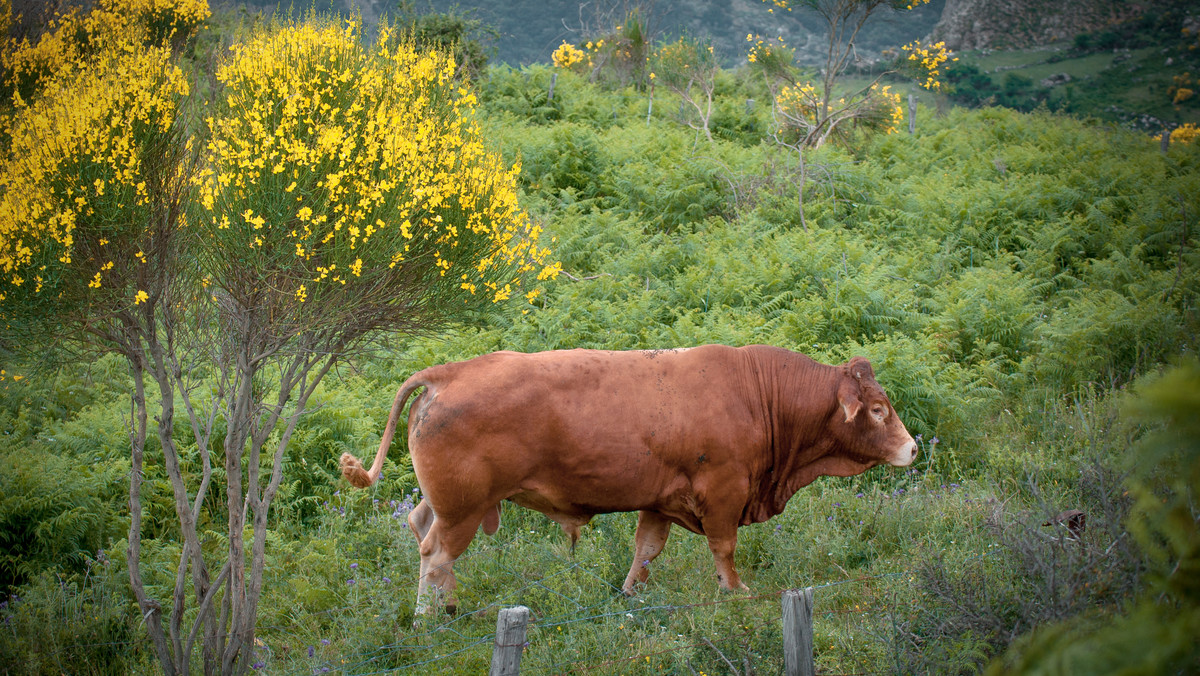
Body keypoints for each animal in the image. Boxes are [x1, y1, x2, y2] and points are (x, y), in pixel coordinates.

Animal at [338, 345, 916, 614]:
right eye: (879, 409)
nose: (912, 447)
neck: (755, 393)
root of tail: (447, 373)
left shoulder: (659, 501)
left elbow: (646, 549)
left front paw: (630, 593)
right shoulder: (723, 493)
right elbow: (724, 549)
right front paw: (735, 591)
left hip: (443, 504)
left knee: (420, 529)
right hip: (462, 510)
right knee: (436, 555)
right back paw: (433, 616)